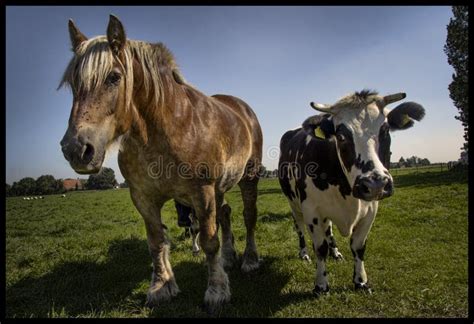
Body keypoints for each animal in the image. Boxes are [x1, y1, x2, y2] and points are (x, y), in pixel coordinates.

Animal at [58, 15, 262, 314]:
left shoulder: (202, 192)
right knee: (225, 213)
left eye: (114, 77)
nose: (76, 149)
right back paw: (228, 257)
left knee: (248, 216)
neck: (166, 128)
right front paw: (161, 286)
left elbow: (208, 241)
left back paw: (249, 260)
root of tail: (241, 108)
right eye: (73, 82)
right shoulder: (143, 197)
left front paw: (217, 291)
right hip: (220, 187)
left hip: (248, 178)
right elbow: (156, 241)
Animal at [276, 90, 424, 294]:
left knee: (329, 229)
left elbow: (358, 246)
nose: (375, 183)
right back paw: (304, 254)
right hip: (294, 204)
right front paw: (321, 285)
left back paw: (336, 252)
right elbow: (320, 248)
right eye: (341, 136)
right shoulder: (311, 210)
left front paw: (360, 281)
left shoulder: (371, 209)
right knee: (299, 228)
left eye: (385, 130)